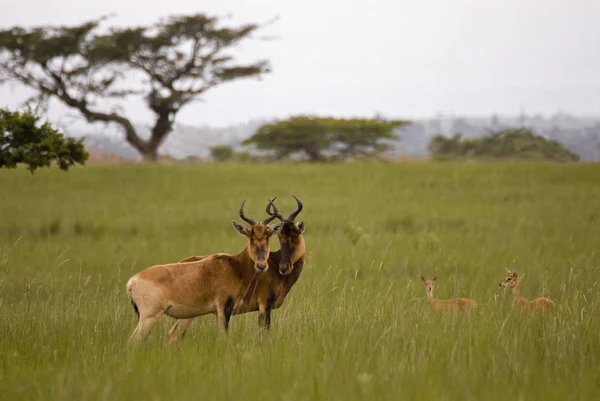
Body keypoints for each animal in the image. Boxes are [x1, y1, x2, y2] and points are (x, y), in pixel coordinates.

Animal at [125, 198, 284, 342]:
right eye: (251, 237)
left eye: (267, 236)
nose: (261, 265)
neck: (234, 266)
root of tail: (132, 281)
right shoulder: (223, 308)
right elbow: (224, 338)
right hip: (149, 317)